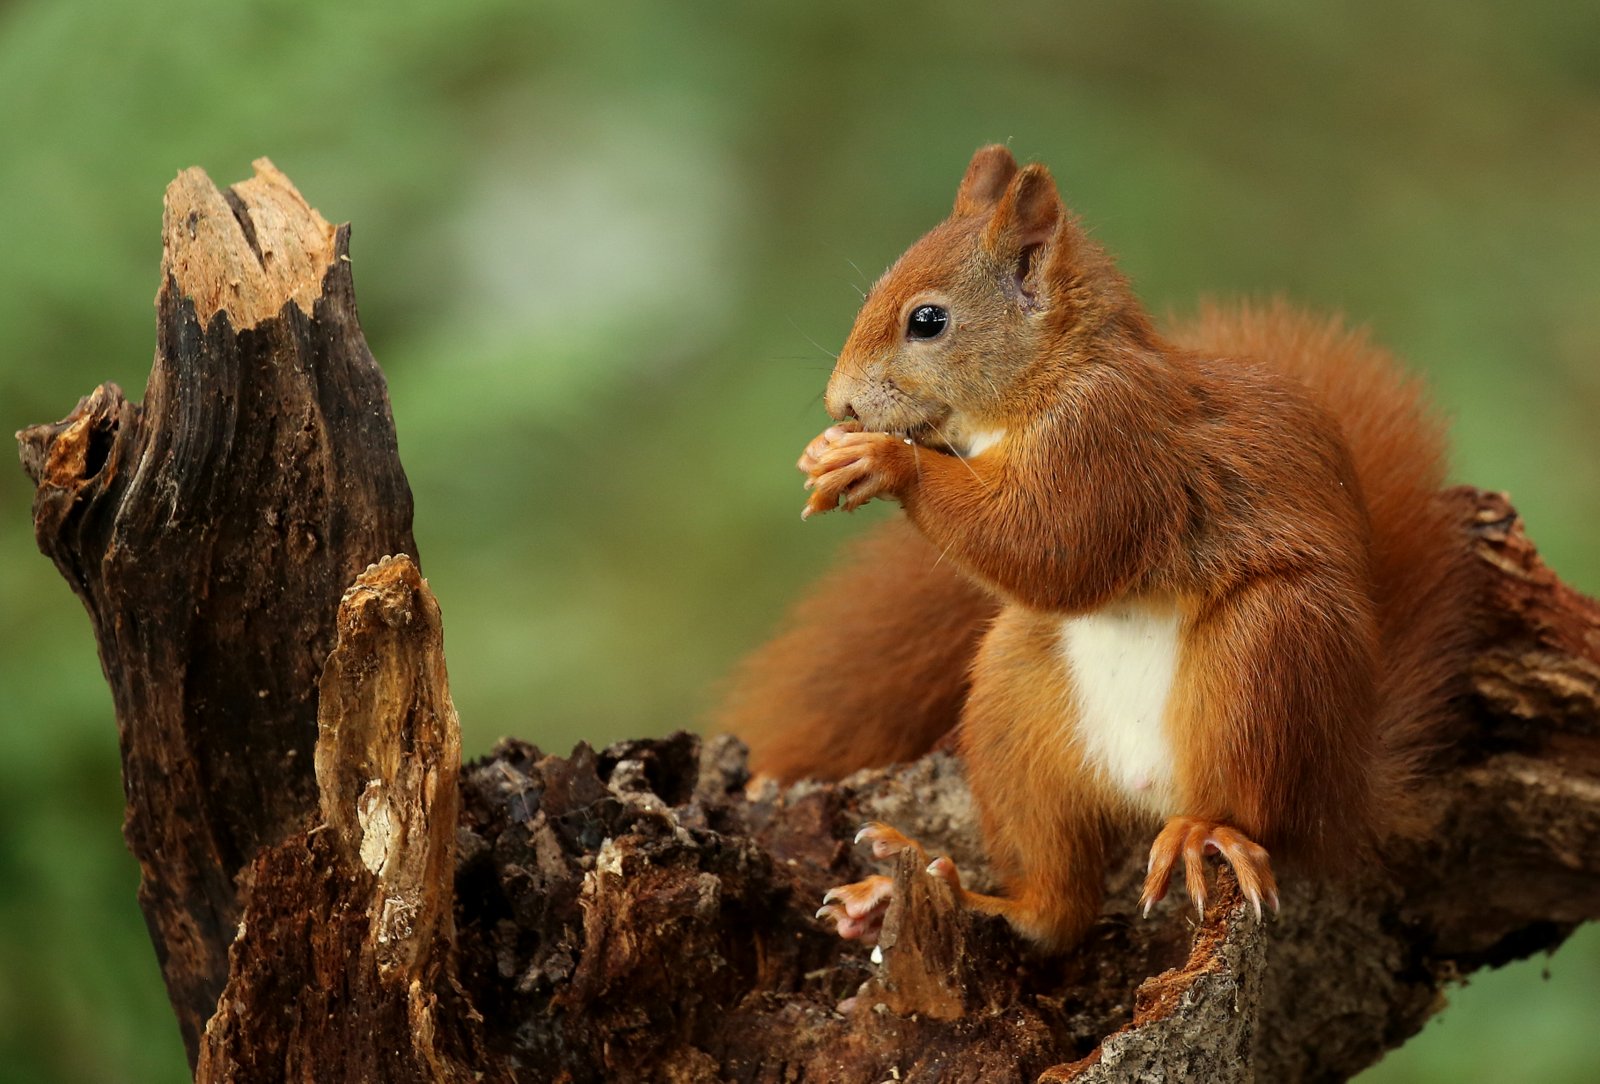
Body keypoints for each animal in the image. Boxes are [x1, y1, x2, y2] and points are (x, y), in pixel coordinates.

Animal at [718, 145, 1485, 949]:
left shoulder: (1106, 443)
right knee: (1056, 908)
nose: (840, 403)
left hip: (1268, 656)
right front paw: (825, 453)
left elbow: (1053, 544)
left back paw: (1203, 834)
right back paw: (928, 888)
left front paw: (882, 459)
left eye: (927, 321)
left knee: (1259, 814)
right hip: (1015, 702)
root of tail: (1348, 796)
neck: (1047, 379)